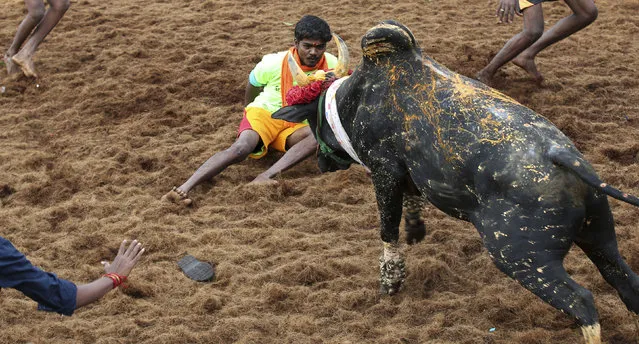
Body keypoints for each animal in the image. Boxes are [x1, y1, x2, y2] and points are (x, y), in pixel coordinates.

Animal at [272, 20, 639, 342]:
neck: (359, 95)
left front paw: (390, 281)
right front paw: (415, 231)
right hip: (599, 235)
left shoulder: (384, 169)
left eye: (311, 119)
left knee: (582, 303)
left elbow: (388, 229)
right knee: (624, 280)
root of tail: (561, 156)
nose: (322, 164)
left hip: (523, 258)